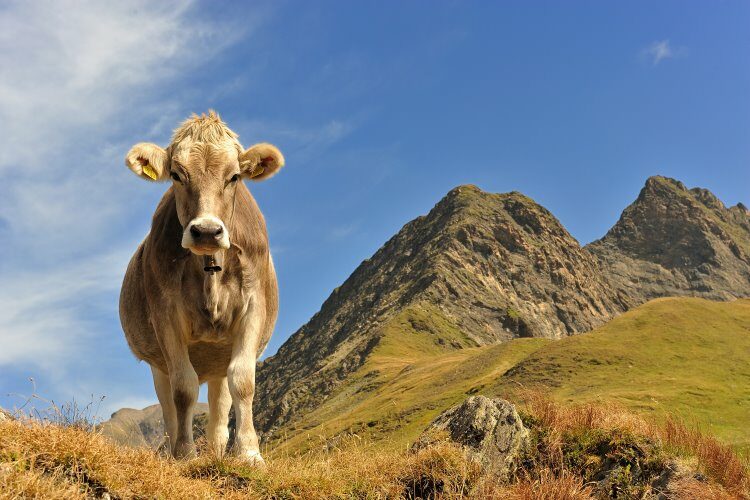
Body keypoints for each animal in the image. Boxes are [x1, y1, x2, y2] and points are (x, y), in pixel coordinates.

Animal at [119, 111, 284, 462]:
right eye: (176, 175)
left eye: (234, 176)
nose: (207, 231)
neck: (209, 268)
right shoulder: (165, 314)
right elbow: (183, 388)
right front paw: (185, 454)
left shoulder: (254, 307)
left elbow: (243, 381)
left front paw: (249, 454)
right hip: (157, 363)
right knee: (169, 404)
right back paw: (173, 450)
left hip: (219, 357)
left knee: (220, 406)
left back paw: (219, 451)